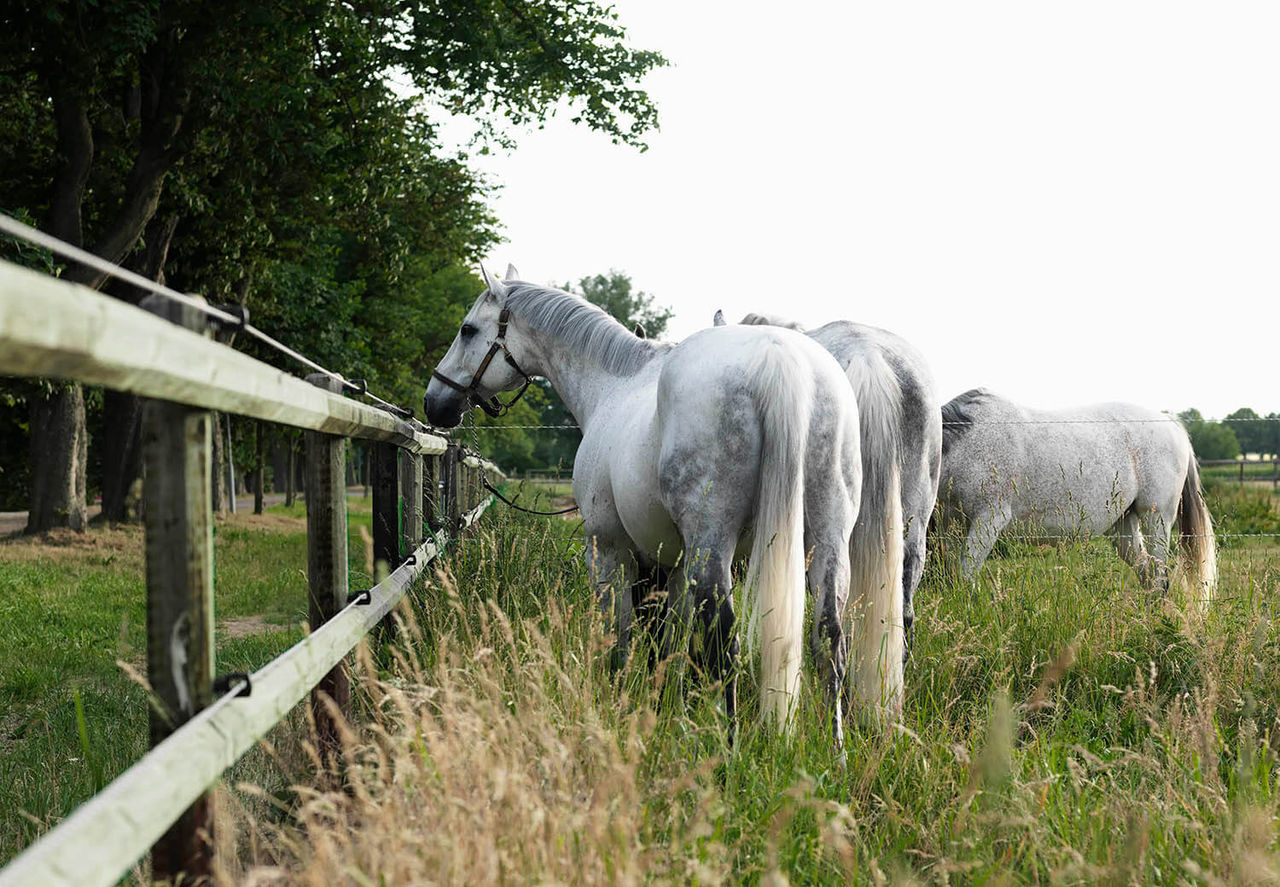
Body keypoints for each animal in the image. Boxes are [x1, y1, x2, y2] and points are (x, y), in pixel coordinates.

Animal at [424, 267, 906, 742]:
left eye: (468, 330)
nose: (435, 402)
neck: (614, 385)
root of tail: (781, 359)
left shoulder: (610, 552)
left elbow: (621, 637)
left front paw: (619, 704)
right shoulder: (671, 565)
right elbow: (667, 642)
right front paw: (662, 706)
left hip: (713, 548)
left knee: (724, 643)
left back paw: (729, 747)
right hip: (826, 541)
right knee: (830, 638)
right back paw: (834, 749)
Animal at [942, 386, 1218, 601]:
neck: (966, 442)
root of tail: (1172, 424)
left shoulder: (988, 520)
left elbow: (965, 576)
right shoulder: (952, 523)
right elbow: (951, 577)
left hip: (1156, 518)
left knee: (1159, 577)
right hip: (1122, 524)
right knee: (1147, 573)